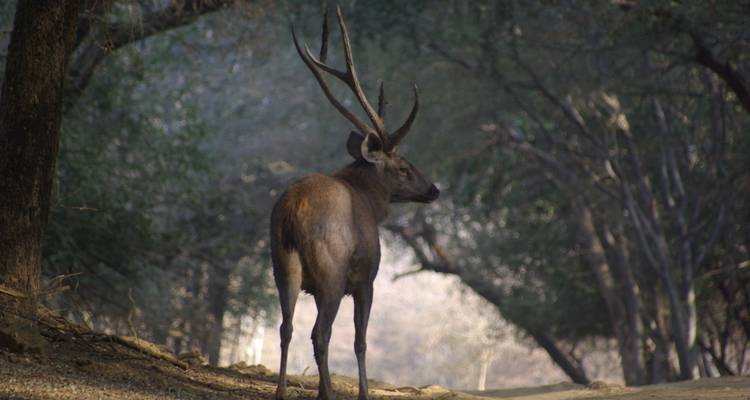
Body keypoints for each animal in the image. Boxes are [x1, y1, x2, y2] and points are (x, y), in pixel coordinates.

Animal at [270, 7, 439, 400]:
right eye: (404, 167)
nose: (434, 189)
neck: (370, 202)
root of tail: (292, 212)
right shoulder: (366, 278)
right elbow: (360, 341)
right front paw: (361, 391)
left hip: (282, 263)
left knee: (286, 328)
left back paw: (283, 391)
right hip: (330, 269)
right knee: (320, 333)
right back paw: (328, 394)